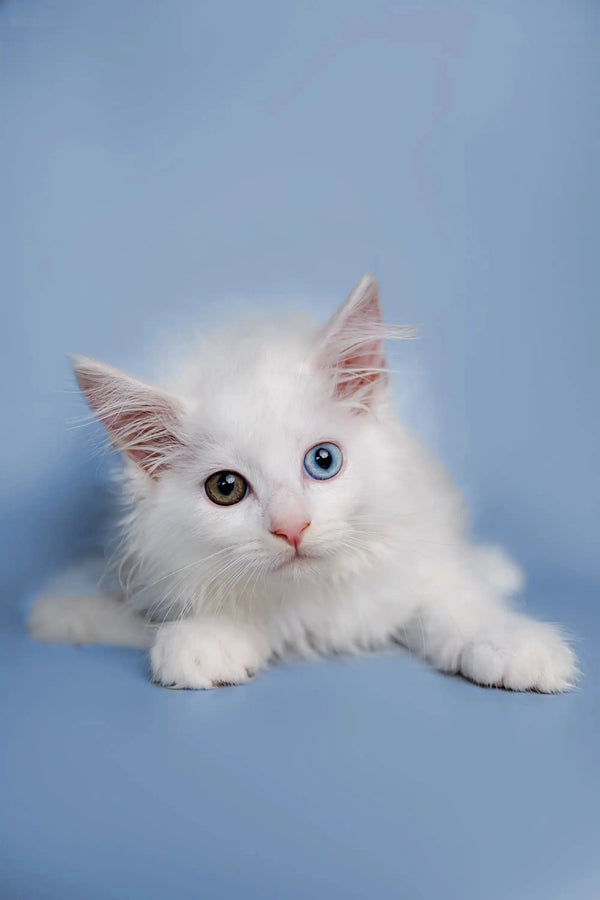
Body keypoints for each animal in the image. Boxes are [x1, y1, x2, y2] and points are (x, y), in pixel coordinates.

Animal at [30, 278, 580, 692]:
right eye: (225, 488)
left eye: (323, 461)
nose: (292, 527)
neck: (318, 595)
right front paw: (206, 640)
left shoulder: (413, 558)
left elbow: (452, 601)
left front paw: (509, 644)